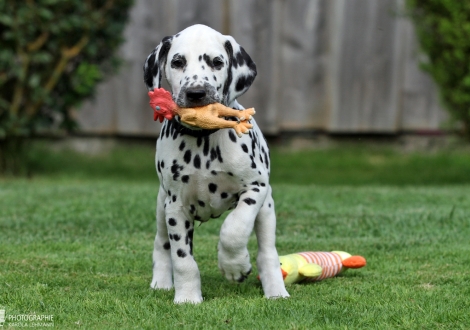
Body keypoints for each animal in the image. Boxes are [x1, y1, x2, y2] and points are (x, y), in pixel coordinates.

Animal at [143, 24, 290, 304]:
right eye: (177, 62)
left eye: (217, 62)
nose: (196, 93)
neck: (204, 140)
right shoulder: (175, 207)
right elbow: (183, 259)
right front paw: (188, 297)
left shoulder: (255, 189)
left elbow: (234, 229)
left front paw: (234, 265)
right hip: (160, 205)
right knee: (161, 243)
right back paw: (161, 281)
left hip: (267, 209)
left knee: (267, 252)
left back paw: (276, 291)